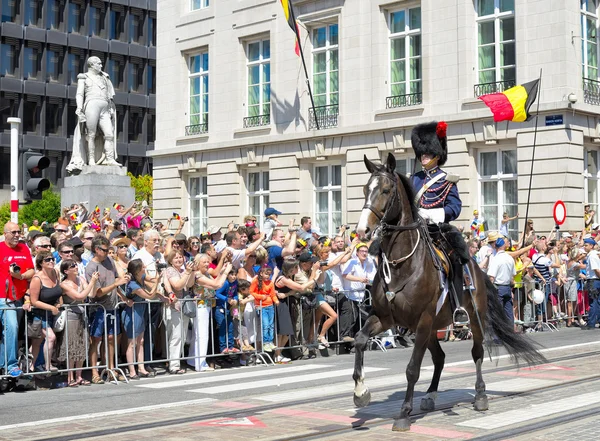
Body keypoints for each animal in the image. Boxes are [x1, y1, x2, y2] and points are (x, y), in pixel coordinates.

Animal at [354, 153, 548, 432]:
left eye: (386, 190)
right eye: (365, 189)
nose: (362, 231)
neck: (402, 264)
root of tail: (477, 267)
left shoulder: (422, 320)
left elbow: (412, 369)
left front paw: (403, 414)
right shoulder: (386, 318)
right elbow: (359, 340)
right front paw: (361, 393)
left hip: (471, 319)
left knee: (476, 353)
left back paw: (480, 395)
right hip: (432, 327)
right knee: (440, 357)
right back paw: (430, 396)